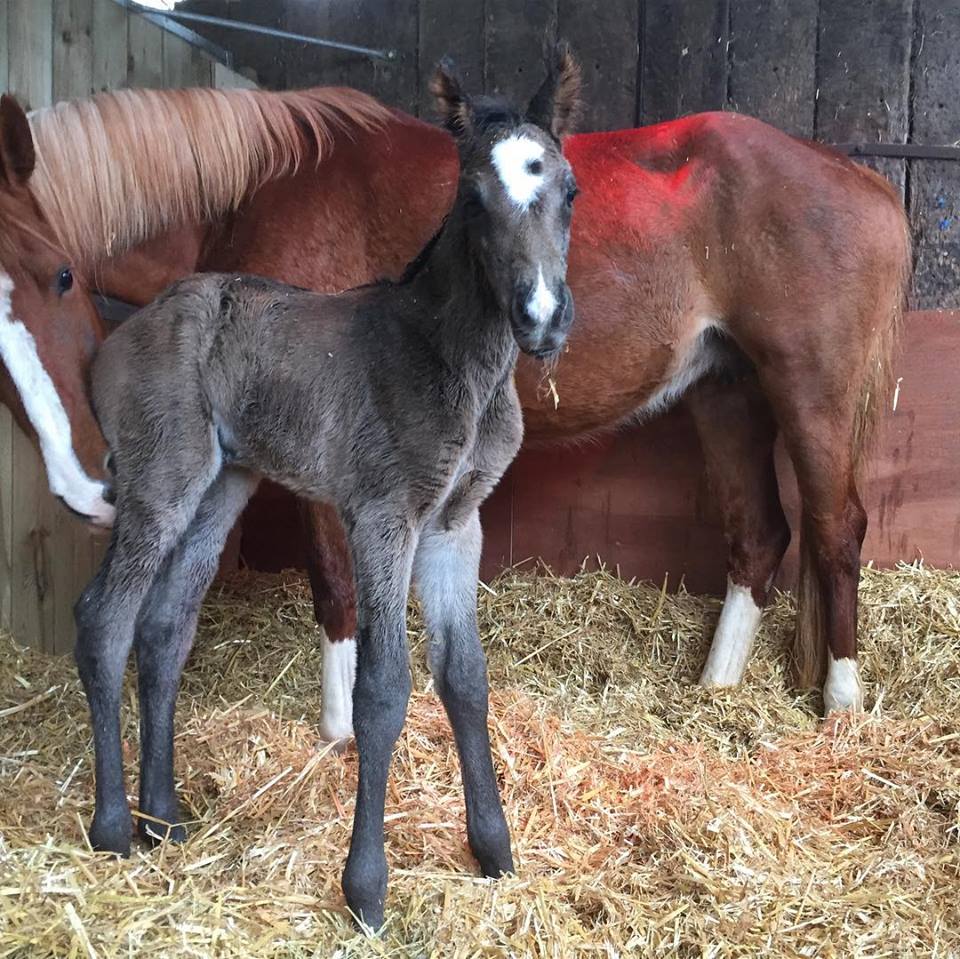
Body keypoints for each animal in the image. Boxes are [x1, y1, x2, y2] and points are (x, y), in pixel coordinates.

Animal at [0, 61, 909, 726]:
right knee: (760, 536)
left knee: (835, 528)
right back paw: (714, 693)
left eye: (61, 276)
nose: (89, 485)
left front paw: (340, 731)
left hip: (811, 392)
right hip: (727, 392)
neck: (260, 189)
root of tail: (859, 178)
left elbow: (336, 583)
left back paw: (841, 704)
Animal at [75, 54, 580, 930]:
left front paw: (494, 850)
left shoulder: (456, 524)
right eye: (473, 198)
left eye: (571, 191)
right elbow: (383, 690)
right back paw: (113, 827)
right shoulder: (382, 517)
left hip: (222, 486)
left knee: (166, 629)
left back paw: (163, 817)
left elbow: (465, 677)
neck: (448, 361)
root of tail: (118, 339)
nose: (542, 318)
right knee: (106, 618)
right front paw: (367, 889)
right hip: (161, 481)